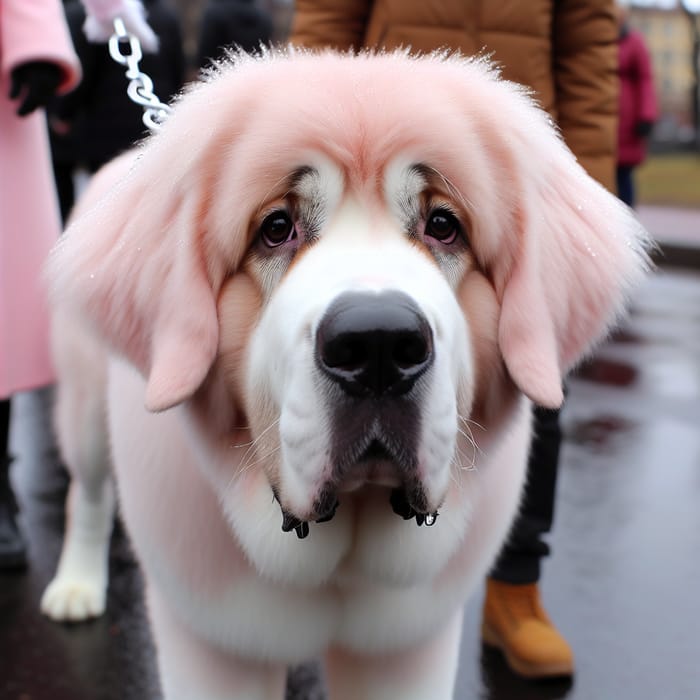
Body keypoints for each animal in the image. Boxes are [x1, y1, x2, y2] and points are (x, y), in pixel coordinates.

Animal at [41, 53, 648, 700]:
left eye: (443, 225)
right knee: (87, 490)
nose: (378, 345)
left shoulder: (406, 648)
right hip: (84, 407)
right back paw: (76, 586)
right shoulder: (213, 645)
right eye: (276, 228)